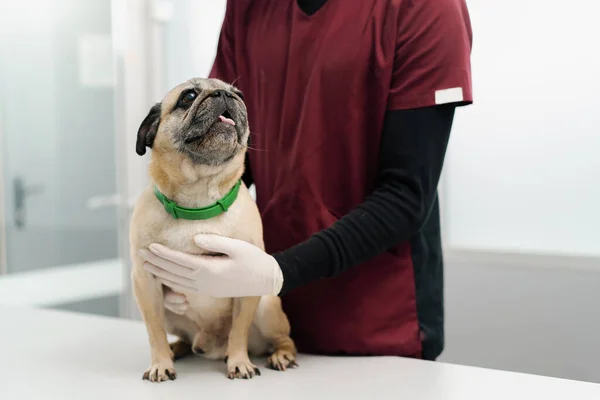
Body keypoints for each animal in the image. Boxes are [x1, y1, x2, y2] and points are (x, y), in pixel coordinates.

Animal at [132, 77, 298, 382]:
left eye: (240, 94)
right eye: (188, 96)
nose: (224, 94)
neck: (198, 203)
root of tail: (208, 346)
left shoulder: (247, 284)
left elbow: (238, 331)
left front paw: (239, 362)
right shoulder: (145, 283)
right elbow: (154, 332)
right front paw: (160, 362)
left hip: (267, 306)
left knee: (284, 339)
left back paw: (281, 355)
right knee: (179, 336)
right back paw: (177, 348)